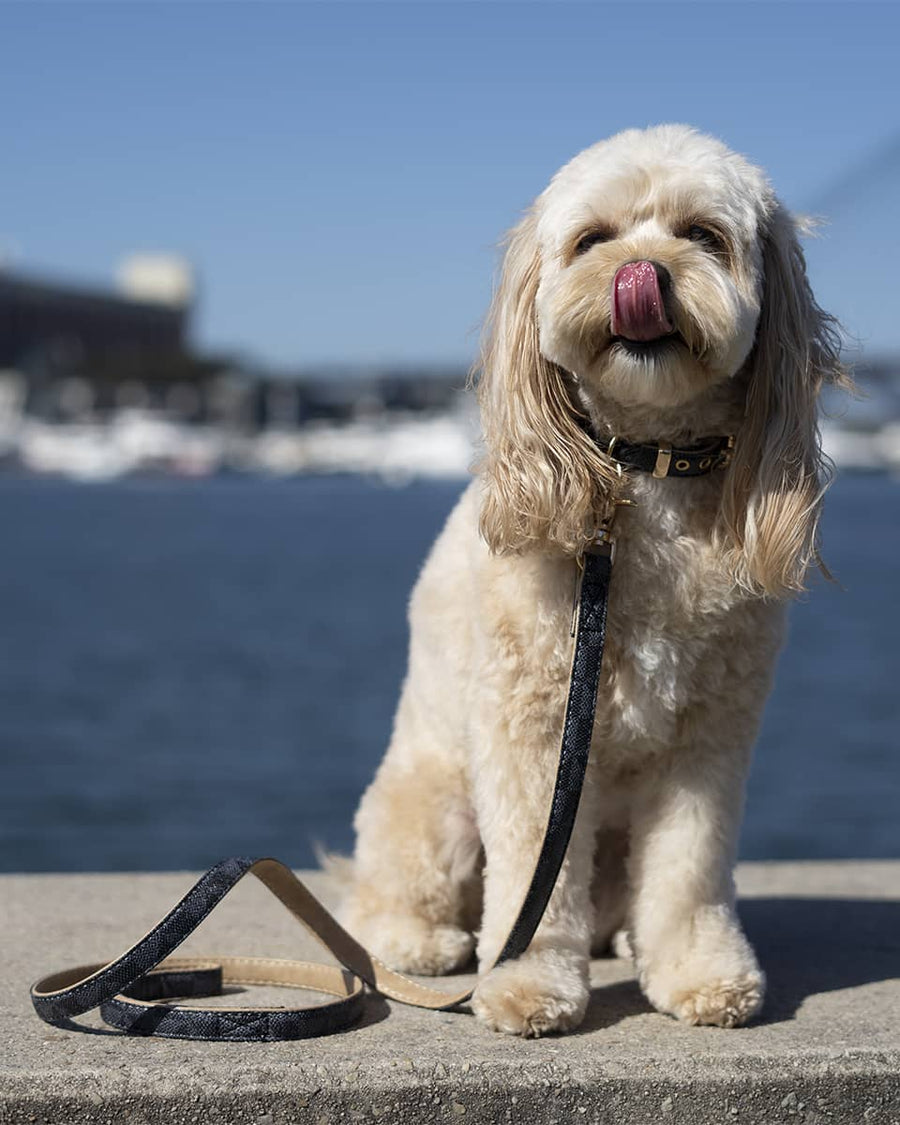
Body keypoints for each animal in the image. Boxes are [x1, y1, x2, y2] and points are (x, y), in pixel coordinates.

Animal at [335, 125, 846, 1035]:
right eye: (592, 239)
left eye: (703, 236)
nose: (640, 274)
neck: (645, 463)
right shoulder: (533, 731)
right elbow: (533, 883)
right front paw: (526, 981)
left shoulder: (709, 736)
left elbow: (690, 864)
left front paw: (700, 971)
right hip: (429, 804)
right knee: (387, 897)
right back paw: (421, 941)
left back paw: (627, 939)